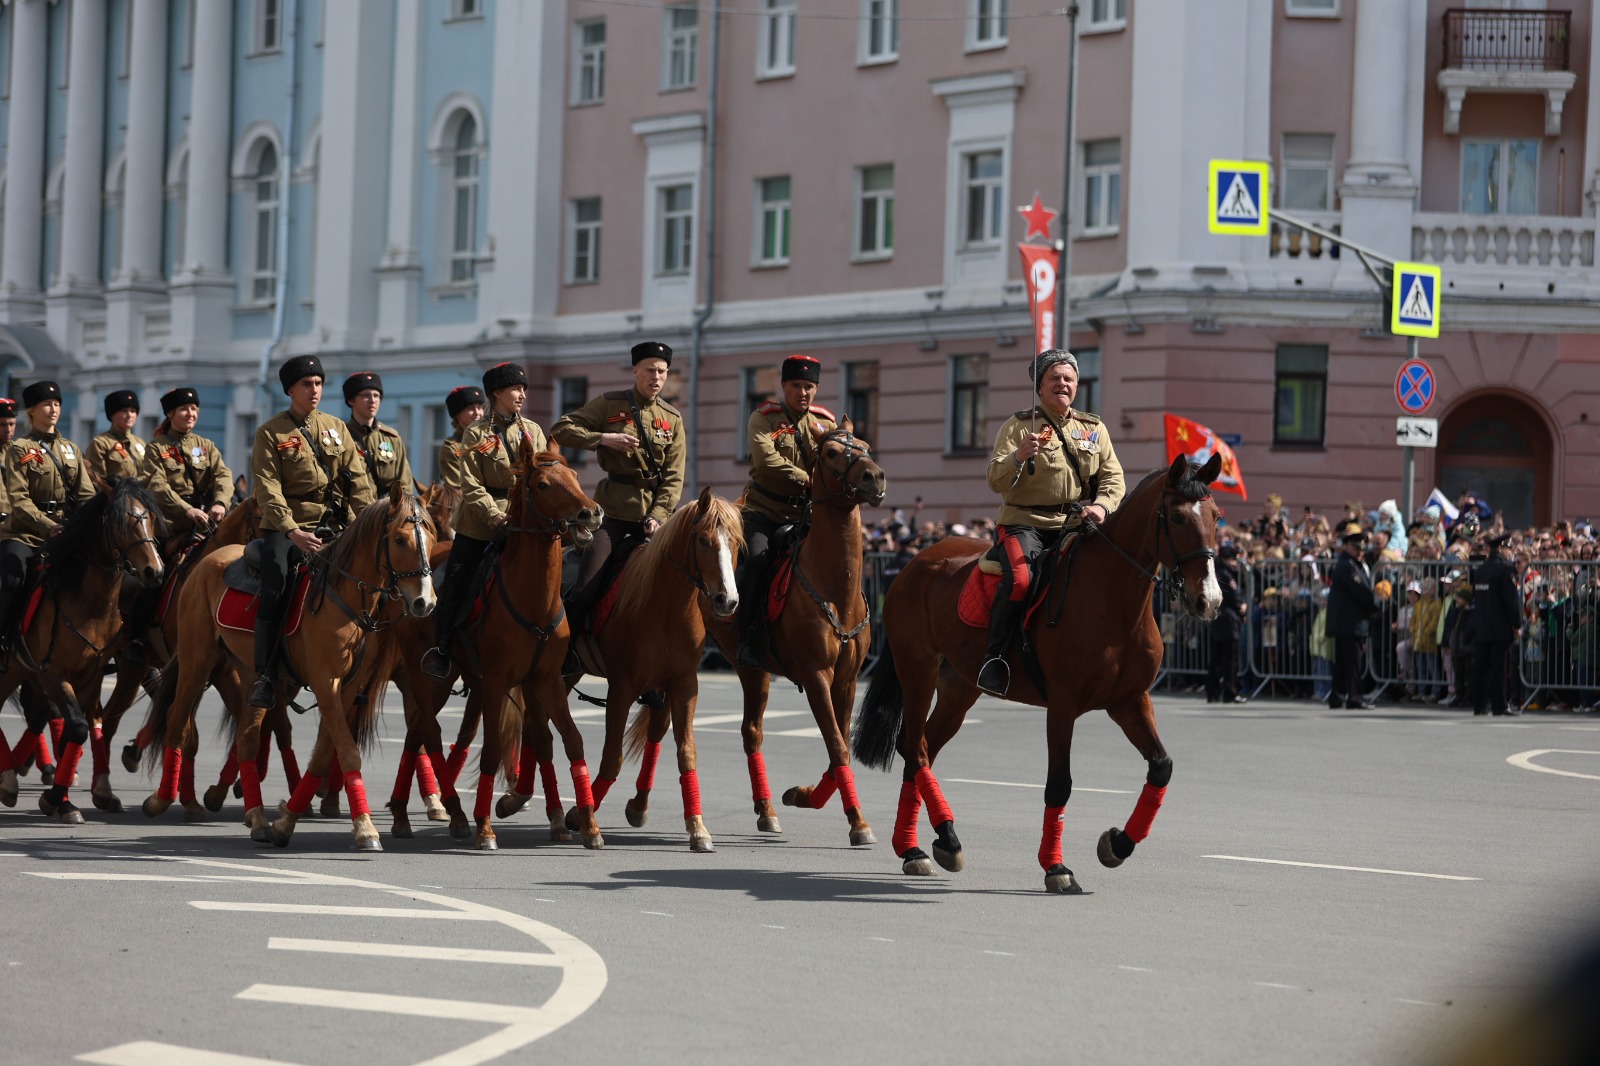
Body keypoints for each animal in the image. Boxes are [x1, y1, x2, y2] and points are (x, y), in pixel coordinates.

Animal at [0, 476, 167, 816]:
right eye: (121, 521)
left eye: (153, 519)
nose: (154, 571)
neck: (91, 605)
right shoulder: (53, 674)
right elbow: (77, 726)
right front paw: (58, 799)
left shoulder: (91, 676)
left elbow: (92, 724)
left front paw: (91, 791)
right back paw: (11, 775)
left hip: (16, 670)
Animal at [137, 480, 435, 845]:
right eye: (400, 539)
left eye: (432, 539)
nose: (424, 602)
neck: (344, 599)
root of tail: (205, 562)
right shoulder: (325, 683)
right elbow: (347, 751)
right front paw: (365, 826)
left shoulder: (347, 689)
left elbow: (323, 756)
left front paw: (286, 821)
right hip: (197, 663)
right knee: (178, 724)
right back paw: (162, 800)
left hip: (249, 674)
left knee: (247, 739)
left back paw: (256, 817)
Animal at [496, 486, 739, 845]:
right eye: (705, 540)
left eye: (735, 543)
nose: (727, 601)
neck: (665, 604)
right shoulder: (622, 688)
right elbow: (613, 759)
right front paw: (579, 815)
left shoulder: (683, 685)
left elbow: (686, 752)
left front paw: (697, 827)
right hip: (551, 676)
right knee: (536, 728)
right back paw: (523, 800)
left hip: (568, 676)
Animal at [700, 419, 896, 845]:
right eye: (831, 453)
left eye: (865, 444)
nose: (875, 477)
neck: (835, 587)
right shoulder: (816, 674)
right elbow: (837, 746)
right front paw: (858, 822)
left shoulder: (847, 680)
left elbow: (839, 747)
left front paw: (804, 796)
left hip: (756, 672)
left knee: (752, 732)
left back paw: (767, 811)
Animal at [851, 451, 1222, 889]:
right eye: (1178, 518)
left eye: (1216, 516)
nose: (1210, 600)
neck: (1113, 600)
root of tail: (917, 562)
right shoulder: (1063, 704)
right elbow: (1059, 784)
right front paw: (1056, 867)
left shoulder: (1129, 701)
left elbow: (1161, 767)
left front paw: (1117, 844)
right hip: (917, 672)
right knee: (917, 747)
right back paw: (936, 841)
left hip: (959, 689)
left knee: (917, 747)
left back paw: (920, 846)